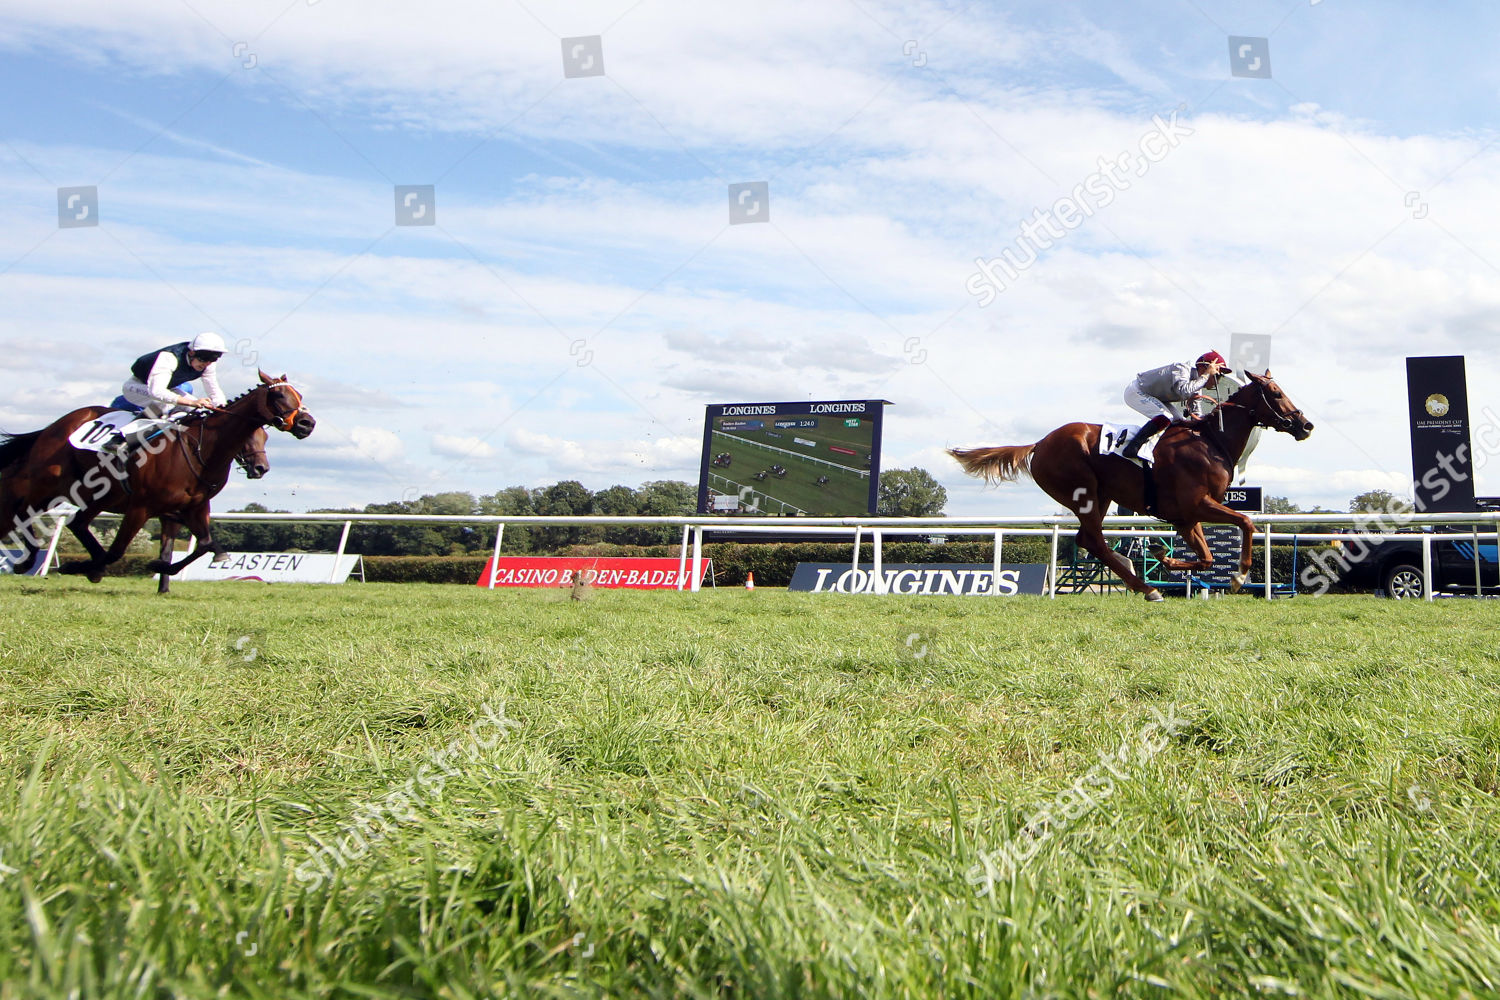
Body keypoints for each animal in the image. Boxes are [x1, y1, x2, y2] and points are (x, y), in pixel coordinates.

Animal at [0, 371, 310, 581]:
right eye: (279, 395)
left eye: (264, 438)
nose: (308, 423)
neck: (202, 448)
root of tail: (56, 424)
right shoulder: (140, 506)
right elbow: (116, 551)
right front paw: (77, 565)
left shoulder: (195, 506)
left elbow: (205, 545)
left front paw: (160, 565)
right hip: (48, 483)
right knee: (22, 511)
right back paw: (28, 561)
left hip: (95, 496)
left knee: (75, 522)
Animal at [948, 370, 1314, 599]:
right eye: (1276, 393)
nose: (1306, 425)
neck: (1210, 441)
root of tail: (1039, 443)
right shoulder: (1199, 504)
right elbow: (1247, 522)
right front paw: (1238, 576)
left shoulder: (1186, 517)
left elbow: (1208, 558)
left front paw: (1164, 558)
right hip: (1084, 493)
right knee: (1093, 540)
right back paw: (1145, 588)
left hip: (1102, 496)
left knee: (1089, 540)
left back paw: (1140, 581)